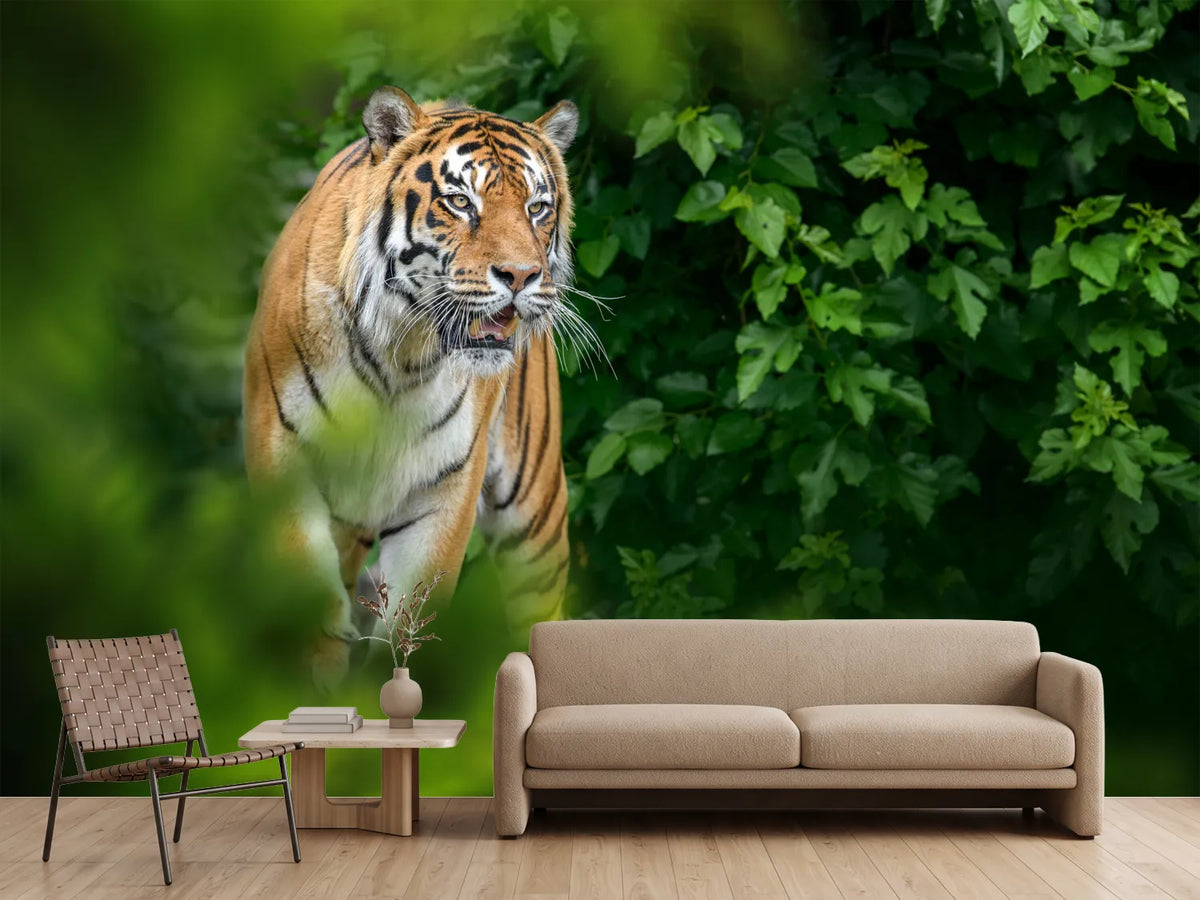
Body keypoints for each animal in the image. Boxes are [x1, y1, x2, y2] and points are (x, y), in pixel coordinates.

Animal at [243, 86, 581, 683]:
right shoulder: (284, 457)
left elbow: (410, 622)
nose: (522, 276)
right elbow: (314, 611)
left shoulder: (445, 487)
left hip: (534, 516)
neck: (400, 357)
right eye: (461, 202)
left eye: (537, 207)